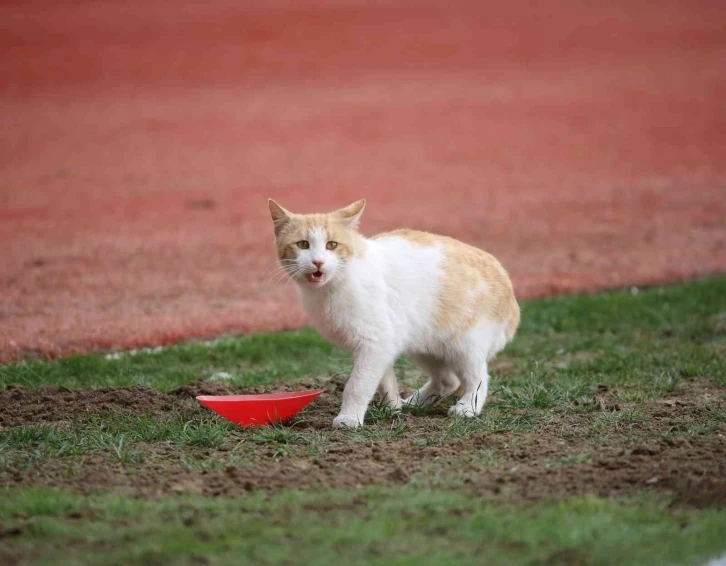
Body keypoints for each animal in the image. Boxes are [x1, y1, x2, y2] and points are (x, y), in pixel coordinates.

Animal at [270, 200, 520, 430]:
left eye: (332, 245)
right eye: (303, 244)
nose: (318, 262)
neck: (335, 285)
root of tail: (508, 287)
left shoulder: (375, 343)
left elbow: (358, 385)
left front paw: (349, 419)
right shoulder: (383, 345)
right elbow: (384, 380)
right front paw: (393, 408)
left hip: (465, 345)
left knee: (477, 377)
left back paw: (468, 407)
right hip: (424, 344)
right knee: (448, 381)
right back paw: (414, 403)